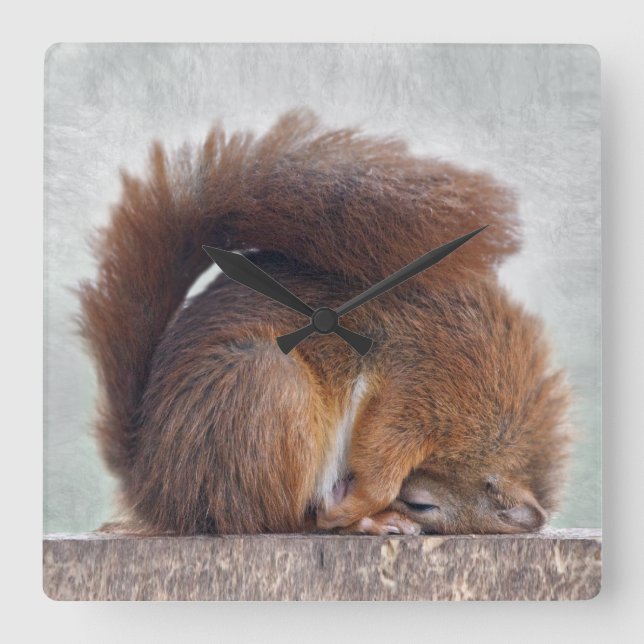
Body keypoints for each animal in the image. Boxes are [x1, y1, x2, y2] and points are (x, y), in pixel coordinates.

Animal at [79, 110, 571, 536]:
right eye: (422, 504)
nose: (406, 505)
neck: (495, 422)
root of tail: (154, 486)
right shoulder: (425, 383)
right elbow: (383, 450)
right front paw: (361, 504)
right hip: (266, 389)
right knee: (278, 520)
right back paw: (360, 519)